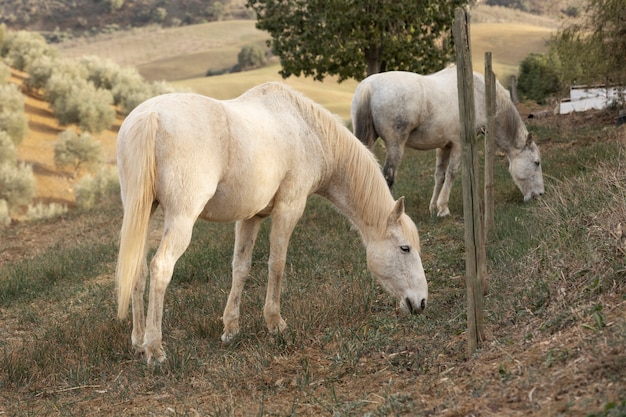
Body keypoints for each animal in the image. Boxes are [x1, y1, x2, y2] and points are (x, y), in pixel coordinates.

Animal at [116, 83, 428, 362]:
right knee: (160, 268)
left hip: (144, 213)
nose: (421, 303)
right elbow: (277, 263)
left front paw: (231, 328)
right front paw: (275, 323)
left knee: (138, 270)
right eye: (404, 248)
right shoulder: (290, 207)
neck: (307, 130)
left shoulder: (250, 217)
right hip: (181, 219)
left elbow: (241, 268)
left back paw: (138, 342)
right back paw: (155, 349)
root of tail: (150, 116)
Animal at [352, 66, 540, 216]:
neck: (478, 94)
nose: (539, 195)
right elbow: (452, 173)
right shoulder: (458, 144)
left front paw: (433, 207)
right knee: (388, 176)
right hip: (395, 145)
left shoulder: (444, 146)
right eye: (537, 162)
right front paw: (443, 208)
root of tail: (369, 85)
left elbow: (440, 175)